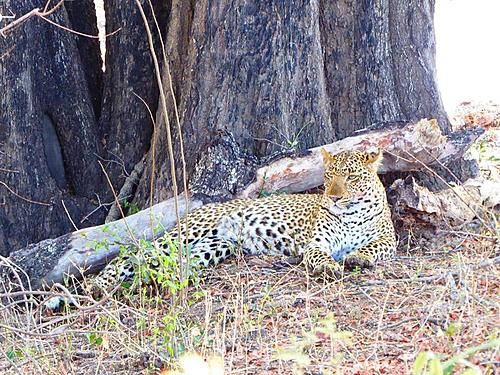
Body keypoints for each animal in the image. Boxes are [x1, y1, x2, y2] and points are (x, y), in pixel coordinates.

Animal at [88, 148, 396, 296]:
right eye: (330, 176)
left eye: (351, 177)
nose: (332, 198)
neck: (352, 213)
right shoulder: (317, 243)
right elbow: (320, 255)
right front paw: (330, 266)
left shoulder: (389, 240)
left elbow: (372, 247)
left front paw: (358, 258)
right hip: (184, 234)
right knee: (130, 256)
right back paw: (98, 285)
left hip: (212, 247)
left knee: (165, 264)